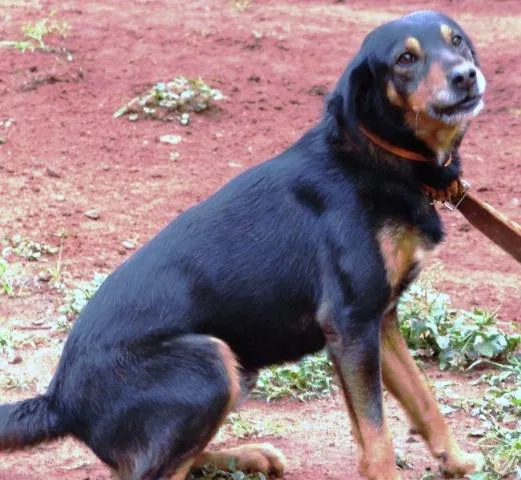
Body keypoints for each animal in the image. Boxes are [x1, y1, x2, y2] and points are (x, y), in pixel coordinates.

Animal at [1, 10, 488, 480]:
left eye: (458, 41)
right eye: (405, 59)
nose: (466, 76)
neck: (377, 158)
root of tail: (60, 400)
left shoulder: (380, 318)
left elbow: (424, 400)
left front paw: (457, 461)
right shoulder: (351, 324)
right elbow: (377, 437)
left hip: (238, 368)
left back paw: (250, 456)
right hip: (211, 362)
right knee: (151, 473)